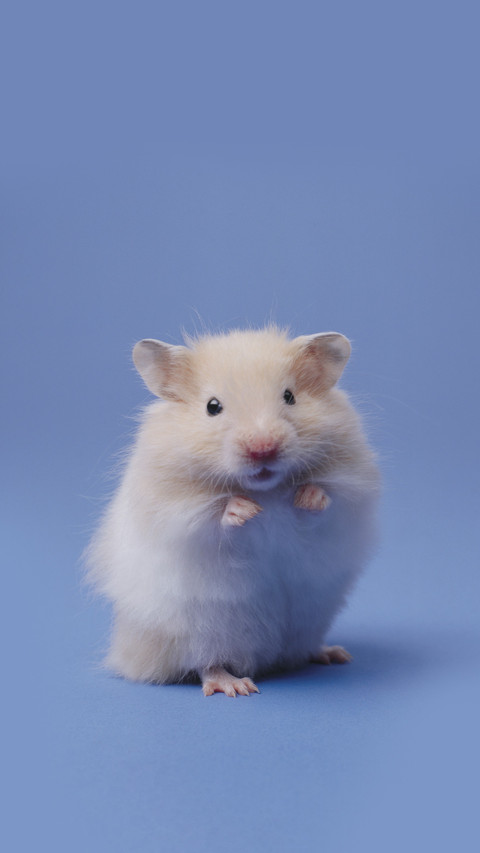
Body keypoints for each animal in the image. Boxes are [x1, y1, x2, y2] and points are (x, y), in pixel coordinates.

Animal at [86, 326, 380, 696]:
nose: (263, 449)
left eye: (289, 397)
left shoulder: (352, 490)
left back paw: (334, 654)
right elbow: (212, 515)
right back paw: (236, 686)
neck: (266, 489)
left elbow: (326, 500)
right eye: (213, 407)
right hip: (200, 633)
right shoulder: (174, 510)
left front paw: (306, 496)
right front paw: (245, 510)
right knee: (205, 665)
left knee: (302, 648)